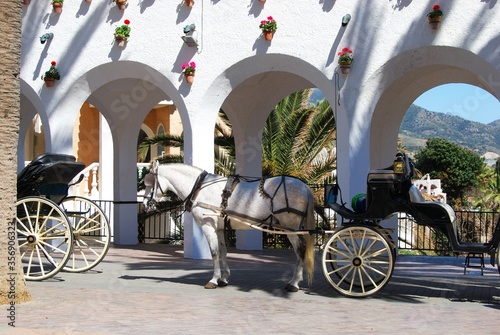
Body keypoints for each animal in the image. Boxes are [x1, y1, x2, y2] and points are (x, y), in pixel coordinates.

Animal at [143, 162, 314, 292]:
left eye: (149, 183)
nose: (145, 203)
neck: (199, 187)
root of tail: (305, 187)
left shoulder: (208, 226)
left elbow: (214, 253)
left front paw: (214, 279)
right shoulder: (219, 228)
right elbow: (223, 252)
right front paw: (224, 279)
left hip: (290, 227)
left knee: (300, 250)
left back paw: (294, 283)